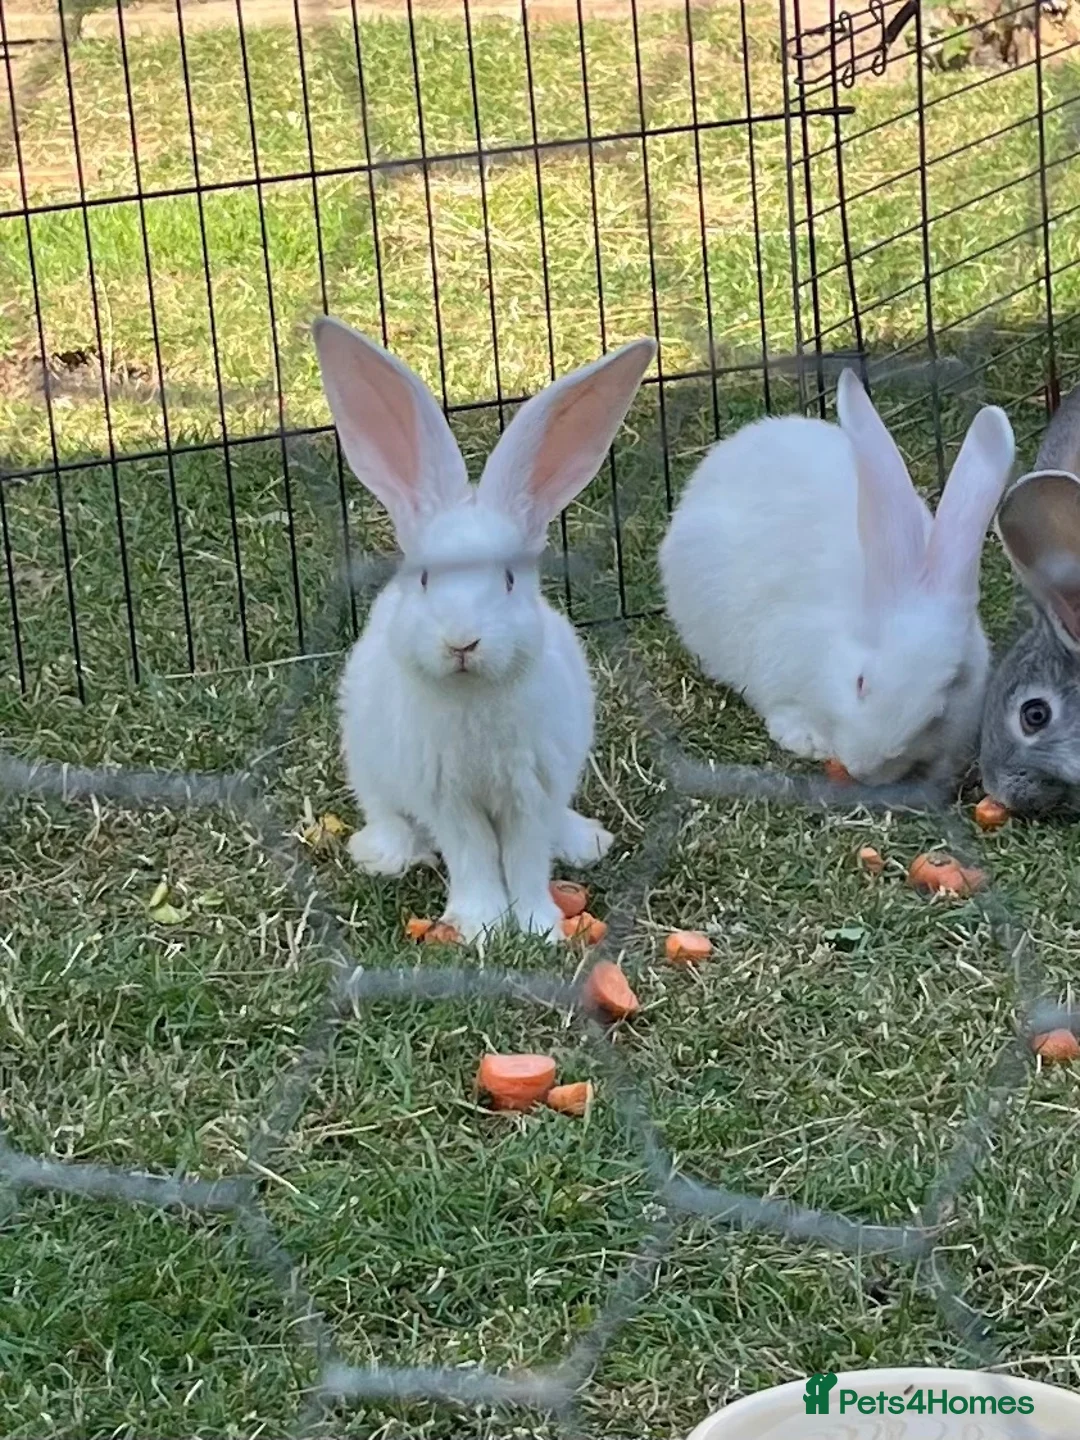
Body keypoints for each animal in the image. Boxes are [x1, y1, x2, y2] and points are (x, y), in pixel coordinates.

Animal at [313, 315, 655, 944]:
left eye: (509, 580)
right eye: (425, 578)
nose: (462, 642)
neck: (473, 697)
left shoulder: (532, 791)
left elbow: (525, 857)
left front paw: (538, 927)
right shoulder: (448, 799)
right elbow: (472, 856)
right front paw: (481, 926)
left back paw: (584, 841)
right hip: (367, 760)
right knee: (387, 813)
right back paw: (385, 855)